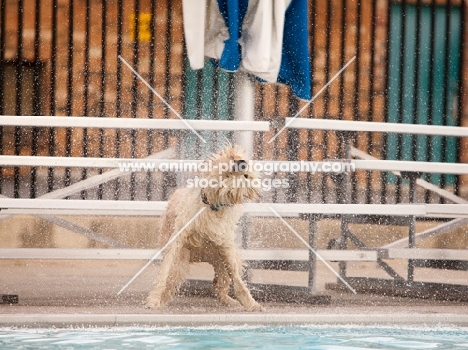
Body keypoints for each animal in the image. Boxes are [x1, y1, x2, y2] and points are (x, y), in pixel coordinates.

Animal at [146, 145, 264, 312]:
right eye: (229, 174)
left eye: (246, 176)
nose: (242, 163)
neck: (210, 206)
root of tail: (203, 258)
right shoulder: (178, 238)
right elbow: (164, 271)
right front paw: (154, 299)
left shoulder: (225, 245)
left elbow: (237, 278)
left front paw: (251, 303)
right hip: (181, 260)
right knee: (173, 279)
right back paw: (163, 298)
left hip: (224, 260)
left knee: (219, 287)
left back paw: (230, 300)